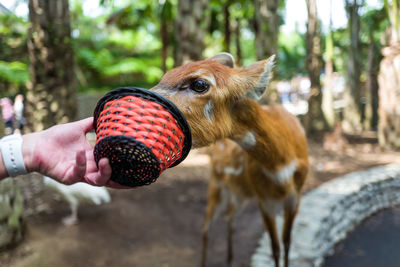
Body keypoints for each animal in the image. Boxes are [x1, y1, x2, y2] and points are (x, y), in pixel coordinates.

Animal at [150, 52, 310, 267]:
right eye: (166, 75)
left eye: (199, 84)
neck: (281, 162)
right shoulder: (264, 198)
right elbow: (275, 247)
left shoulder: (295, 195)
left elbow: (286, 242)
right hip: (216, 185)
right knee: (207, 225)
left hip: (239, 194)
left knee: (229, 217)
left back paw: (230, 259)